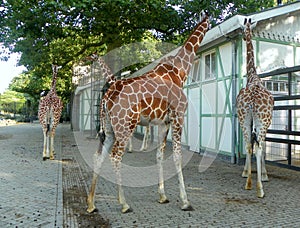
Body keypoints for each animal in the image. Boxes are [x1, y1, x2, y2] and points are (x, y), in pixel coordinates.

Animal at [86, 12, 209, 213]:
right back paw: (124, 204)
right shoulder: (178, 116)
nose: (87, 60)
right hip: (125, 125)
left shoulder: (163, 122)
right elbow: (177, 156)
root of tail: (106, 98)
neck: (179, 70)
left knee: (98, 156)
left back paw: (91, 204)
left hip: (110, 128)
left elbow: (159, 155)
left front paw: (163, 196)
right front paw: (185, 201)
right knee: (115, 156)